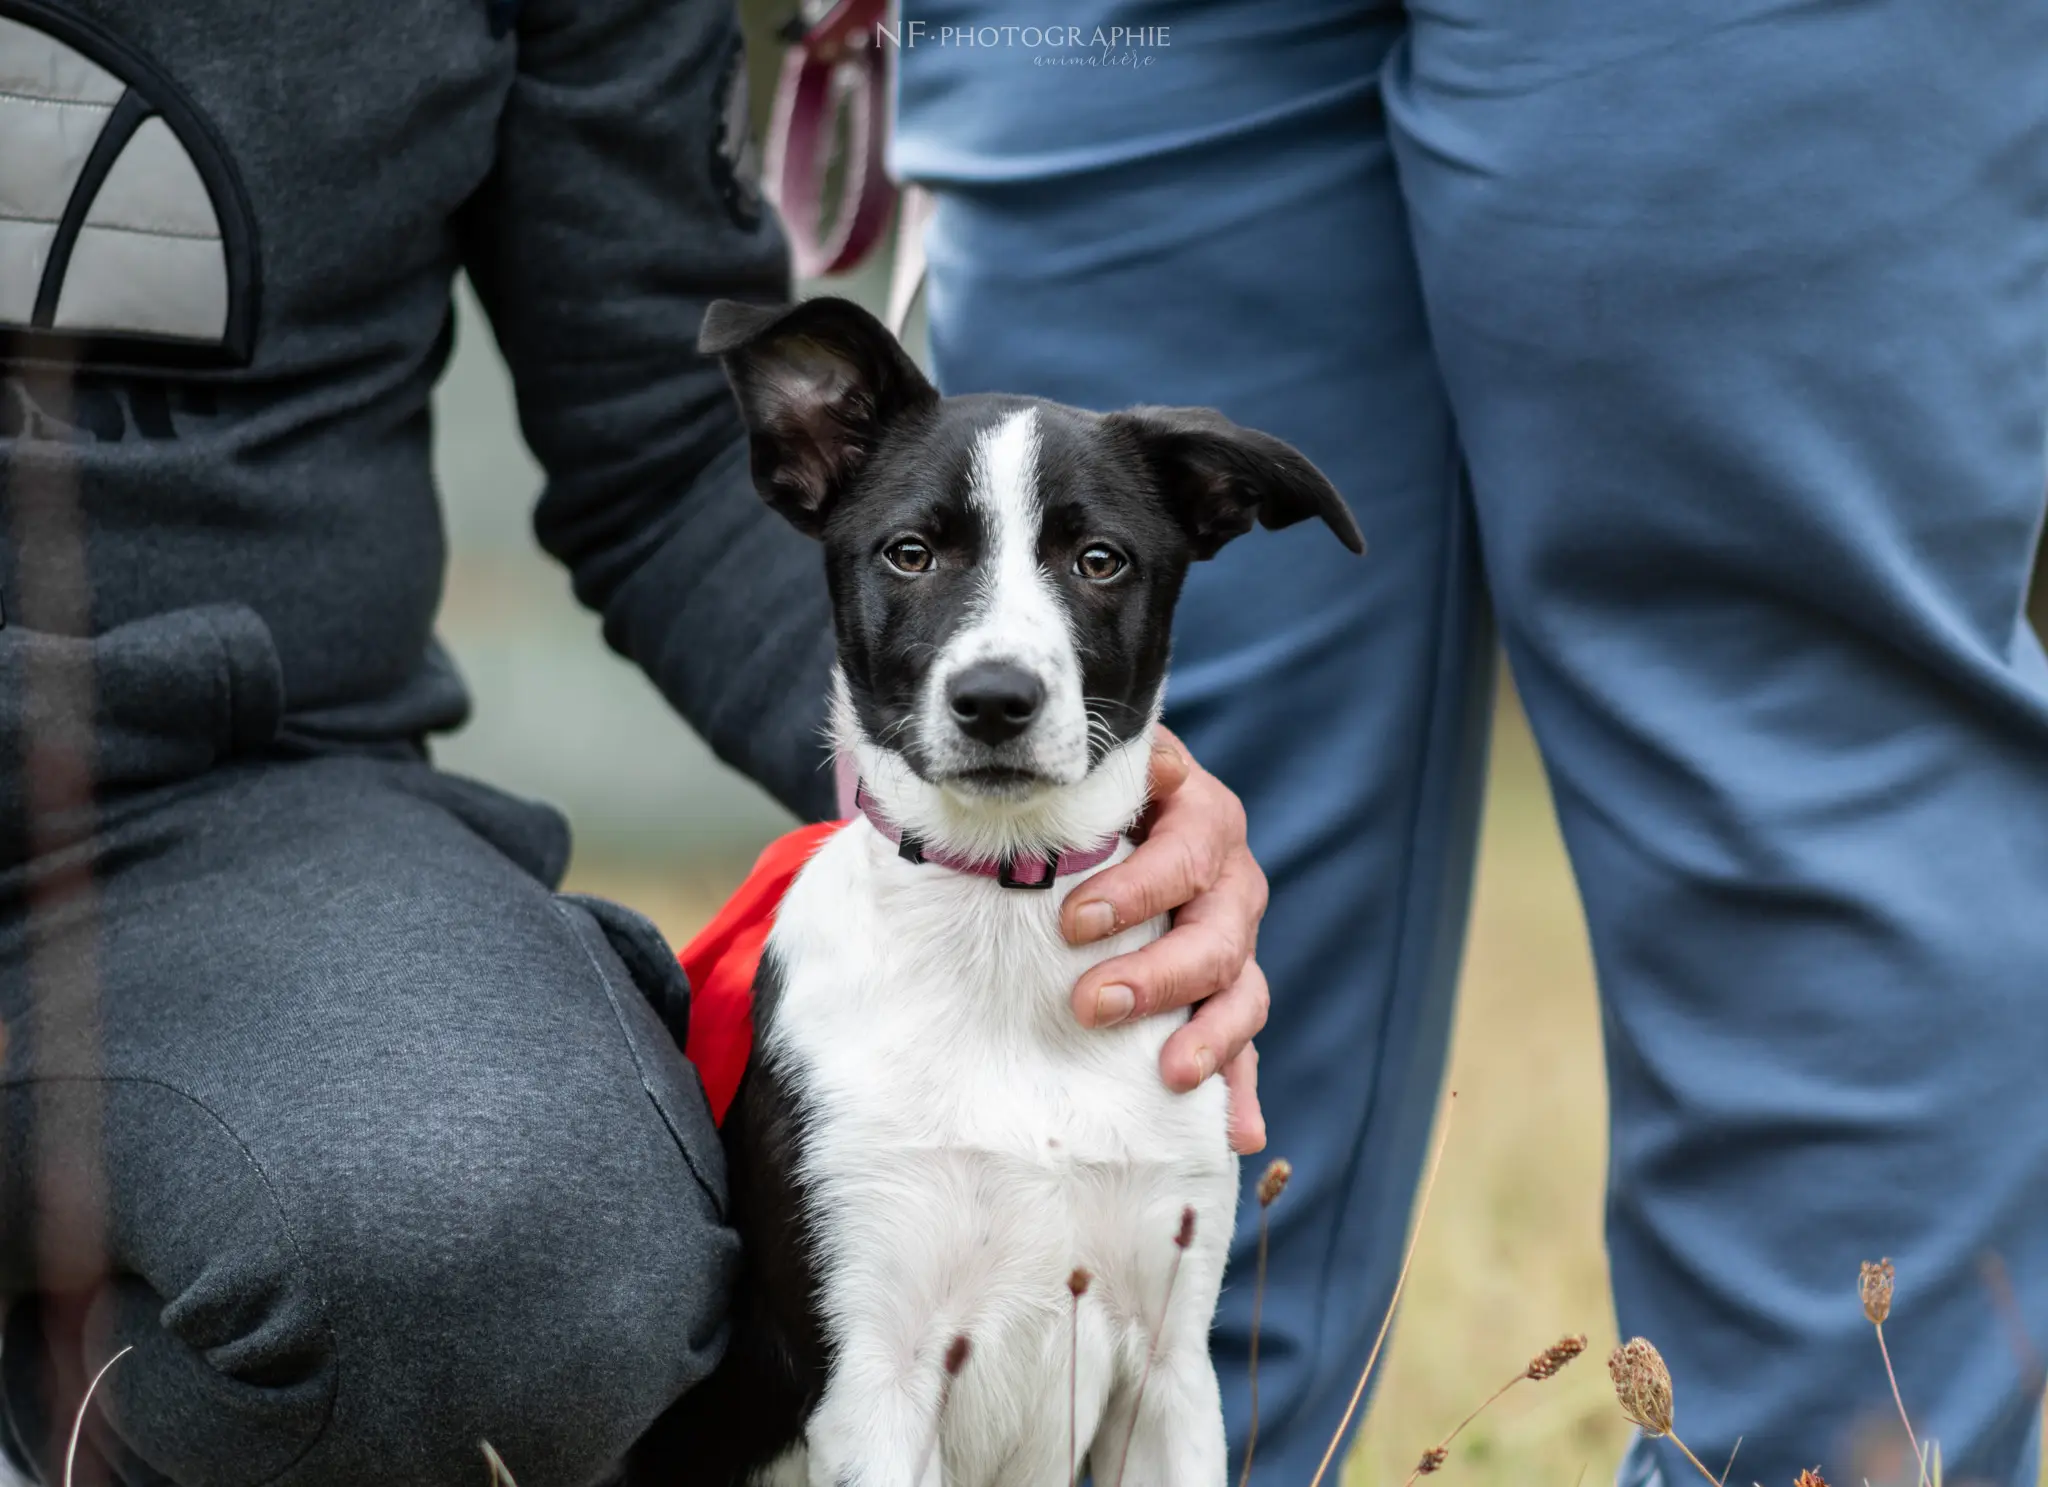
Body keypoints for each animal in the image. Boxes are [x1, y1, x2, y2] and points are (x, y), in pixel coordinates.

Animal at [651, 294, 1359, 1487]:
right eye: (909, 552)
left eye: (1100, 559)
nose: (994, 699)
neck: (1001, 916)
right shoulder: (873, 1375)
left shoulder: (1169, 1369)